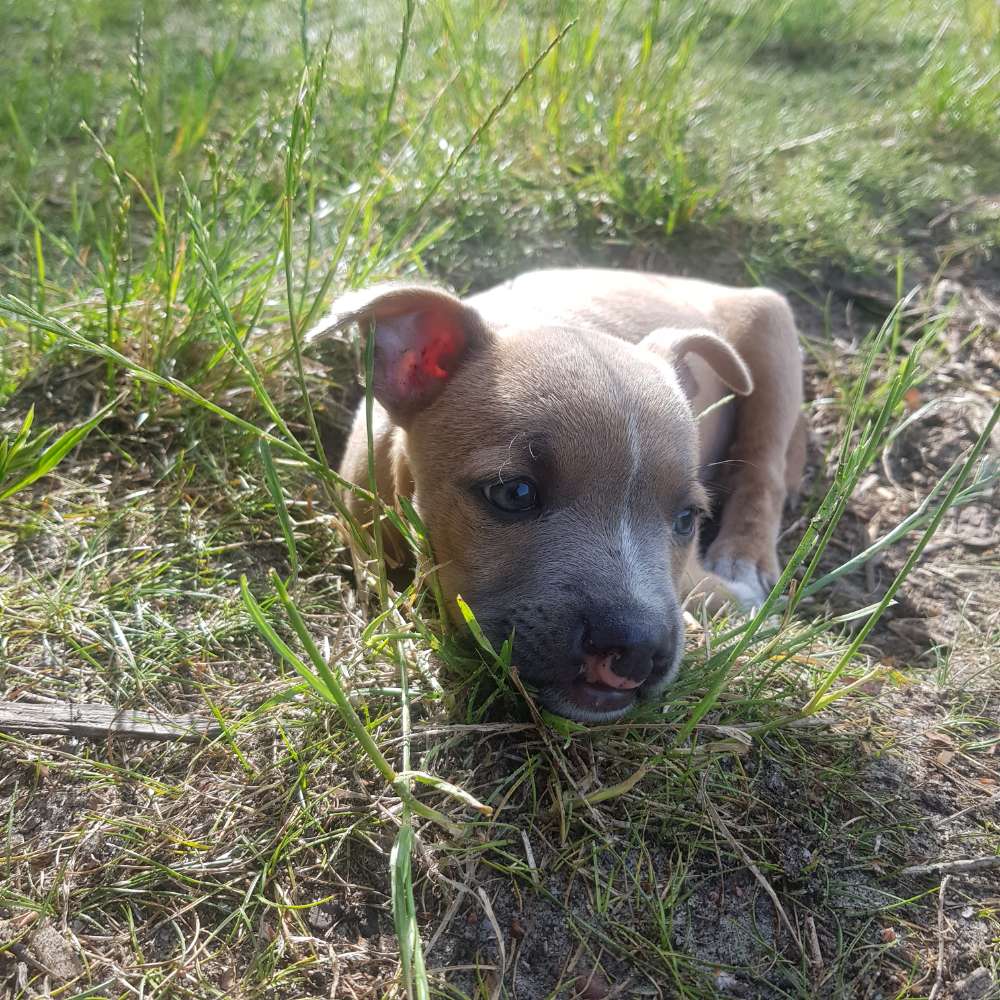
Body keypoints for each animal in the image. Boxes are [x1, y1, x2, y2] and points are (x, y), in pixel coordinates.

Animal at [308, 268, 808, 720]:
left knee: (765, 467)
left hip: (769, 331)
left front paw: (741, 605)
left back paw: (745, 560)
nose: (638, 649)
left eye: (687, 519)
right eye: (514, 493)